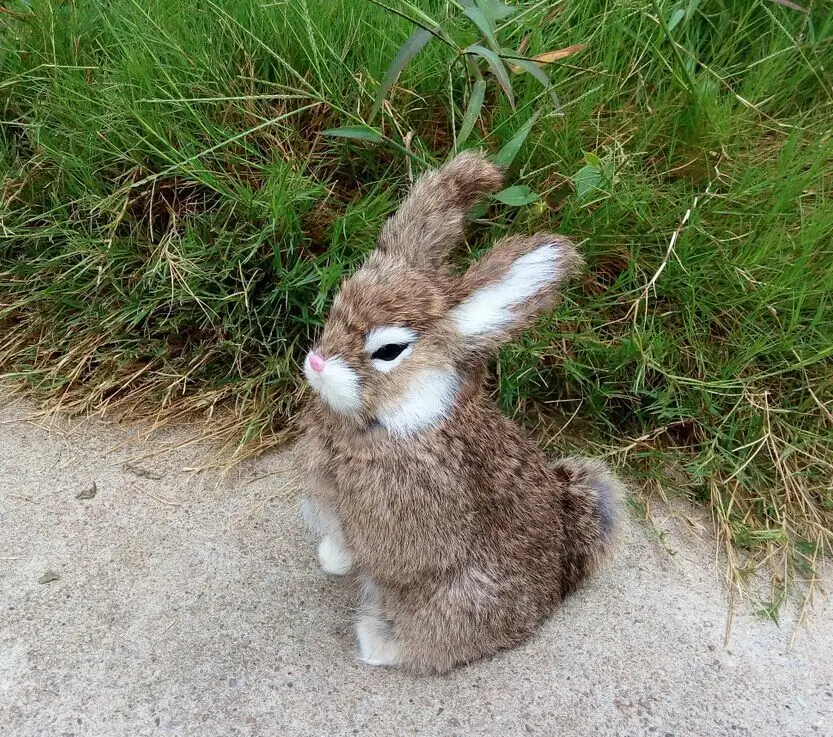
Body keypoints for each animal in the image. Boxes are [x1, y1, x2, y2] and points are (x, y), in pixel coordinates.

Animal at [296, 150, 620, 672]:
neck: (401, 420)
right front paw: (329, 560)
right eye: (336, 308)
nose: (317, 362)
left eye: (389, 351)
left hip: (456, 600)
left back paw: (378, 644)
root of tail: (552, 594)